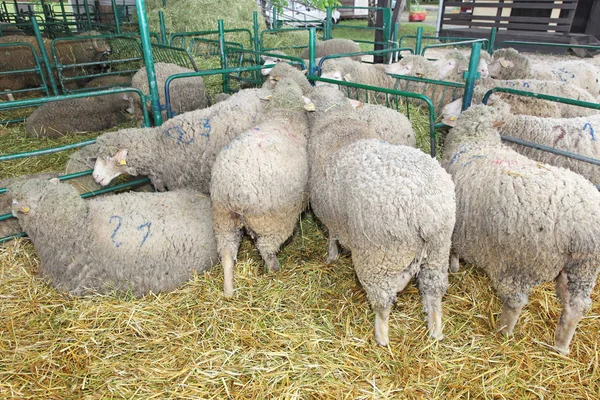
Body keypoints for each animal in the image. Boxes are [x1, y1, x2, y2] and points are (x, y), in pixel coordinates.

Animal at [440, 104, 600, 356]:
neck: (476, 141)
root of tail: (582, 225)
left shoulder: (457, 225)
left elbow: (454, 251)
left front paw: (454, 267)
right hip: (584, 267)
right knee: (576, 305)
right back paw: (561, 345)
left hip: (519, 263)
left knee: (515, 303)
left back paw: (503, 331)